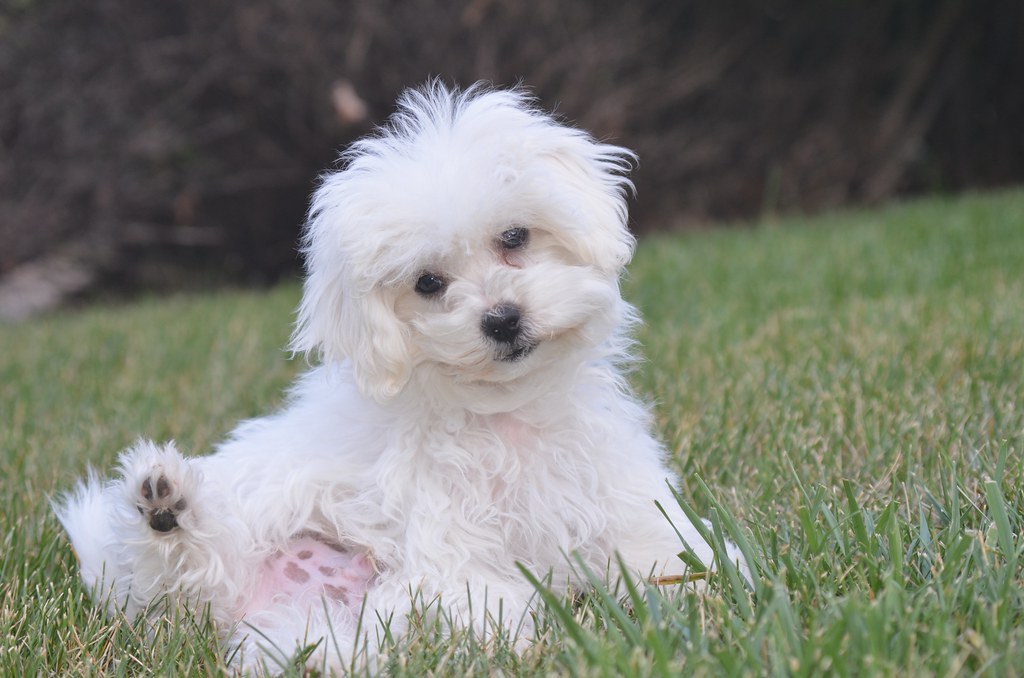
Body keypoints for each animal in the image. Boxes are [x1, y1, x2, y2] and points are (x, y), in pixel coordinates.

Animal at [54, 82, 745, 671]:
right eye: (428, 283)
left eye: (515, 237)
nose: (502, 319)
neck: (503, 412)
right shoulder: (446, 534)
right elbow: (477, 590)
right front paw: (514, 644)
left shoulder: (614, 490)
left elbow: (660, 546)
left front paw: (707, 586)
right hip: (211, 564)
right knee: (181, 585)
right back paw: (164, 506)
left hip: (301, 625)